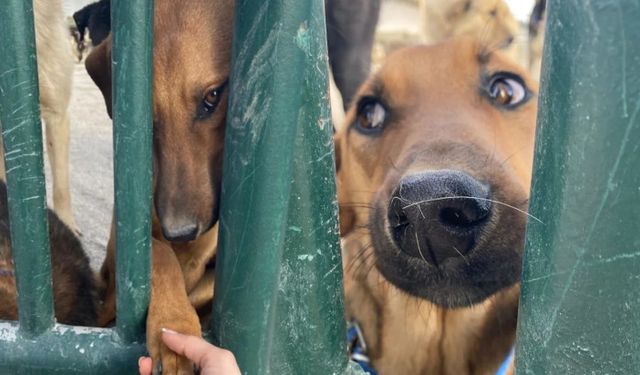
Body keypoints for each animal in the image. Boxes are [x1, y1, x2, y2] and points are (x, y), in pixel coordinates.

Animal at [86, 1, 232, 374]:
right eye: (145, 118)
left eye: (213, 96)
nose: (179, 231)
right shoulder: (120, 249)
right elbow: (158, 254)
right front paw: (174, 329)